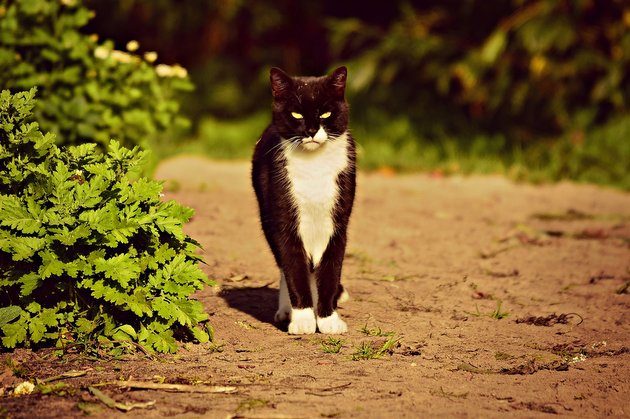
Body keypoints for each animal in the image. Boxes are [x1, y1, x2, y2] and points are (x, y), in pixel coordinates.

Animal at [253, 67, 360, 336]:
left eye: (325, 113)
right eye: (296, 113)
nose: (311, 131)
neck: (314, 166)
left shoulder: (337, 223)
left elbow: (330, 270)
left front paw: (328, 319)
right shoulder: (283, 221)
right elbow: (294, 268)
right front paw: (302, 319)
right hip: (266, 217)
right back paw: (287, 311)